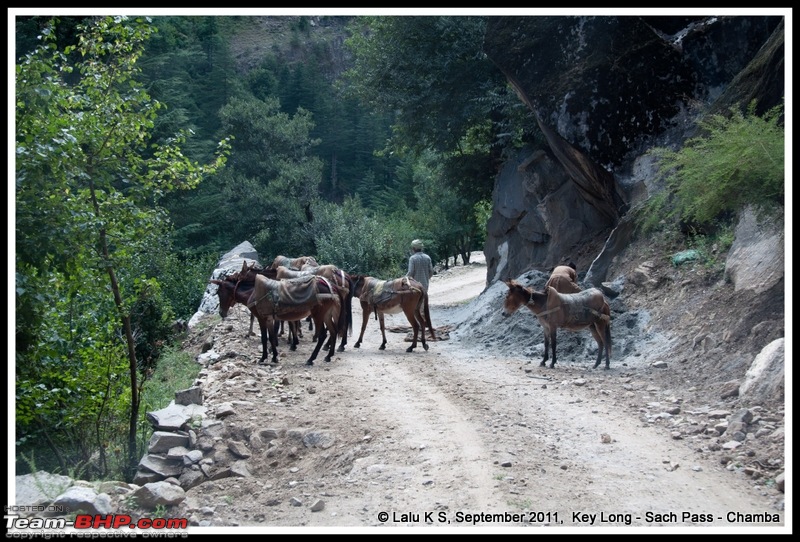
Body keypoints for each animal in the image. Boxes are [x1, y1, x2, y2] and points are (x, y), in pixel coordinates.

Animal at [209, 274, 340, 368]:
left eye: (219, 292)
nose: (221, 313)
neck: (253, 292)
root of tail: (328, 285)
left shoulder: (262, 318)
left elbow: (265, 338)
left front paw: (263, 358)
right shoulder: (269, 319)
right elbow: (271, 336)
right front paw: (274, 357)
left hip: (318, 315)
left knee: (323, 335)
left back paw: (311, 359)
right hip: (326, 315)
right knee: (333, 331)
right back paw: (329, 356)